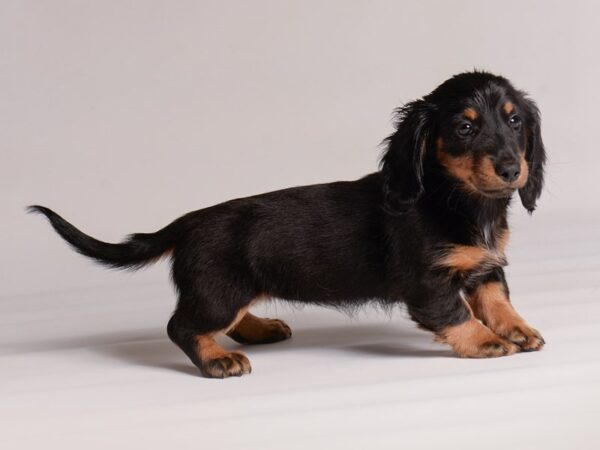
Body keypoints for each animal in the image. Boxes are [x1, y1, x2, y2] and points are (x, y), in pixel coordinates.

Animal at [30, 71, 548, 376]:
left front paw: (516, 330)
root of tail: (188, 221)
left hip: (231, 289)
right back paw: (217, 359)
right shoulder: (428, 283)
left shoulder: (485, 265)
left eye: (515, 121)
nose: (510, 169)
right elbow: (458, 314)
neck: (460, 203)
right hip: (219, 291)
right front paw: (485, 342)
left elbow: (497, 300)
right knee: (182, 326)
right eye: (465, 128)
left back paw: (258, 330)